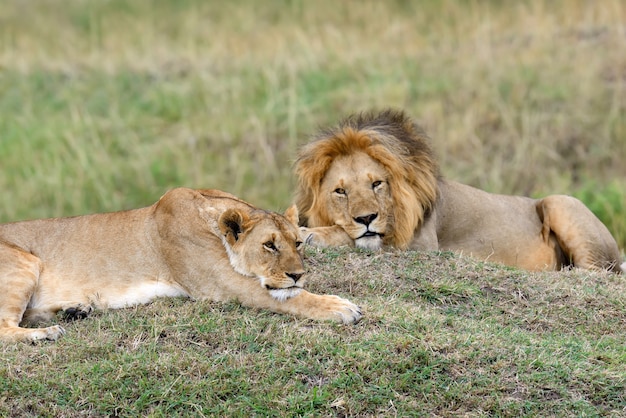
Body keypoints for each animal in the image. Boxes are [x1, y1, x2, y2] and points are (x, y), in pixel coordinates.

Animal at [0, 188, 360, 342]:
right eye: (269, 245)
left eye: (297, 243)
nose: (298, 274)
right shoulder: (223, 284)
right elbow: (290, 297)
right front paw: (339, 307)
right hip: (23, 262)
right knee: (5, 327)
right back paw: (43, 334)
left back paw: (73, 310)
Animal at [294, 108, 624, 274]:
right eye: (340, 191)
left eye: (377, 183)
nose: (366, 219)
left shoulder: (420, 245)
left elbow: (354, 238)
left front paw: (312, 235)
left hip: (560, 202)